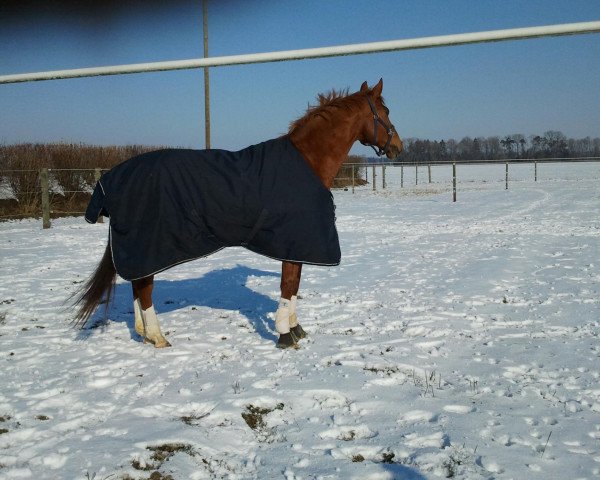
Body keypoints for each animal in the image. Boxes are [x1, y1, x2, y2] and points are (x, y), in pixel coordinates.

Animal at [75, 79, 404, 348]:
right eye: (386, 111)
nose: (398, 147)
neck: (308, 161)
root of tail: (112, 178)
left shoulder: (296, 244)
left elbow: (295, 284)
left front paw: (296, 329)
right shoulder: (293, 240)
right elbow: (288, 284)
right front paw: (285, 335)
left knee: (137, 284)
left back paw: (143, 333)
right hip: (150, 247)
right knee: (145, 288)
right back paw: (157, 337)